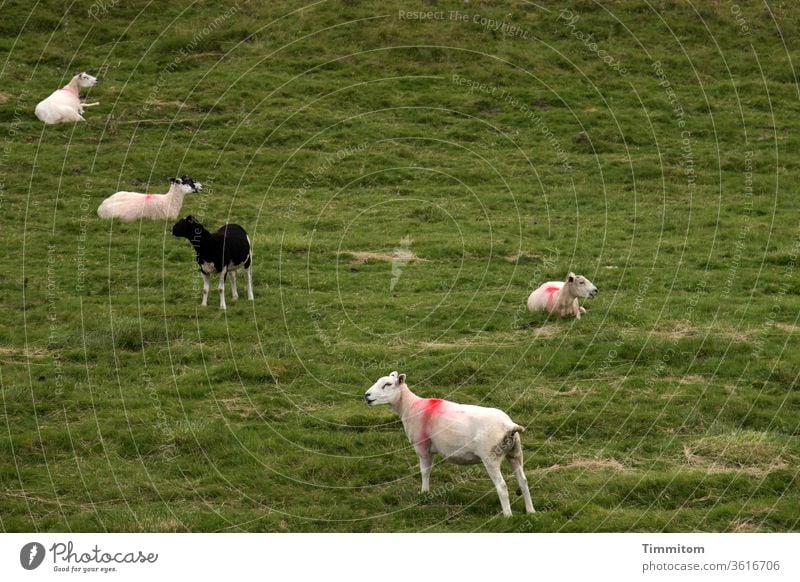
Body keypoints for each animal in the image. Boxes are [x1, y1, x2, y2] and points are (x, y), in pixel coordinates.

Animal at [366, 372, 536, 516]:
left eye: (387, 384)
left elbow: (425, 471)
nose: (366, 395)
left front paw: (424, 493)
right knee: (523, 481)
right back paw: (531, 511)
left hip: (490, 457)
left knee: (502, 486)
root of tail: (509, 426)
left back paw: (507, 516)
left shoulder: (423, 447)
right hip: (515, 453)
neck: (409, 407)